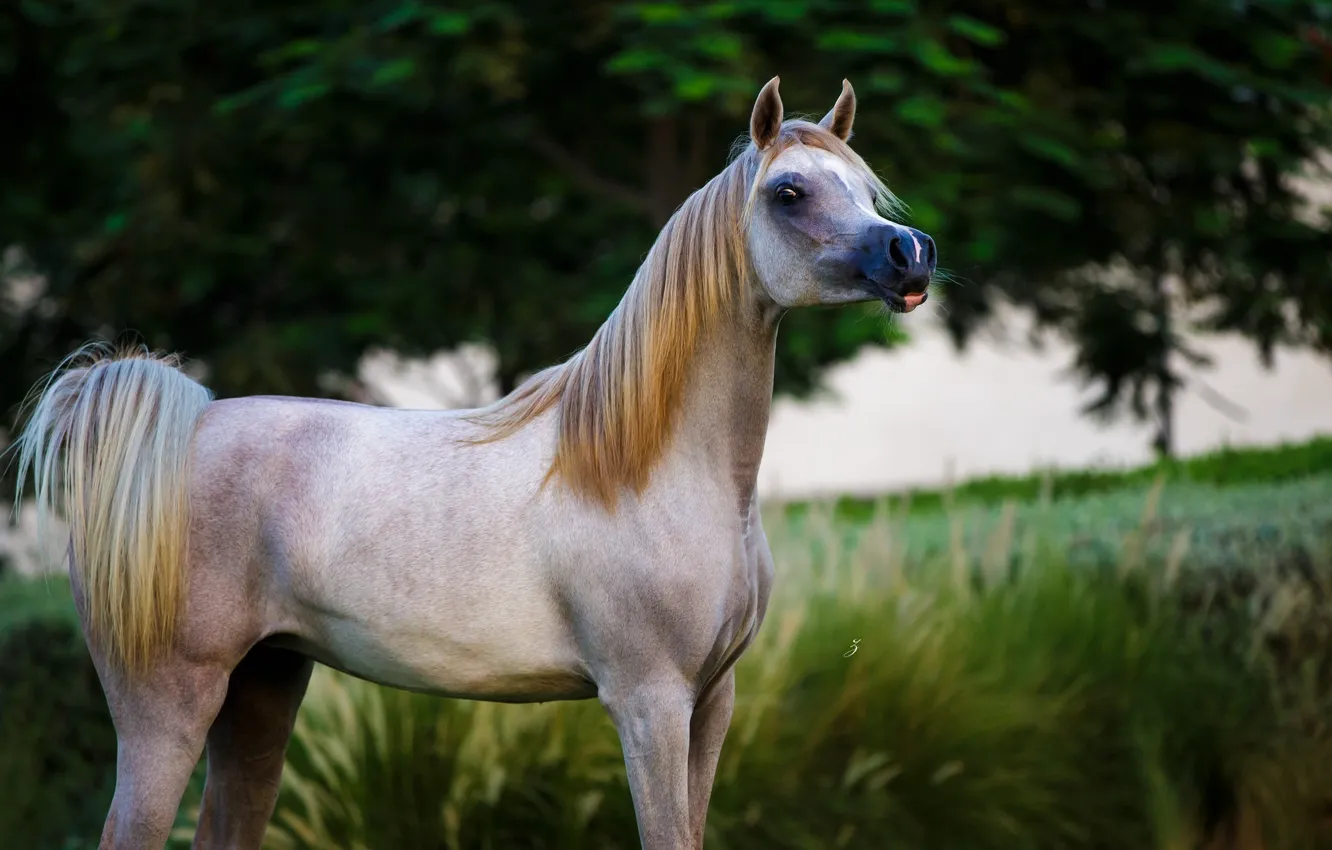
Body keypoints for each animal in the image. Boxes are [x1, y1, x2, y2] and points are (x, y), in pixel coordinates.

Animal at [13, 76, 936, 850]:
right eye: (790, 192)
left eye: (865, 189)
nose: (910, 254)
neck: (651, 471)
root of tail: (168, 441)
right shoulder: (650, 702)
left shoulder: (712, 701)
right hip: (167, 708)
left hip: (262, 691)